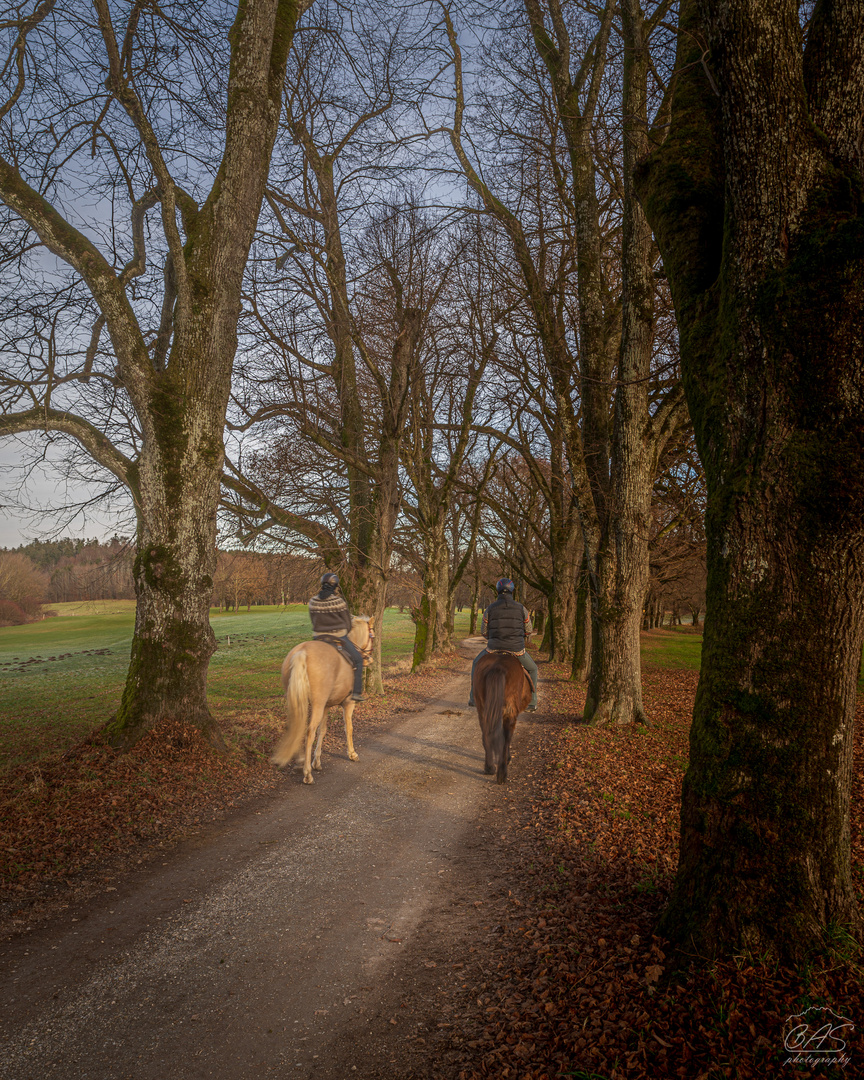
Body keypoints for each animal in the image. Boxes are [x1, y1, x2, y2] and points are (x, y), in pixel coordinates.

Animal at [272, 617, 373, 786]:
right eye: (372, 636)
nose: (370, 659)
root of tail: (302, 652)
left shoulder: (326, 706)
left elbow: (322, 731)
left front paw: (317, 761)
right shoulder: (347, 704)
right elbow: (348, 728)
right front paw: (352, 754)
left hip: (297, 702)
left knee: (296, 726)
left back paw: (300, 762)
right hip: (317, 704)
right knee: (309, 732)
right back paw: (307, 774)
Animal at [473, 648, 533, 786]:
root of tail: (498, 666)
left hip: (483, 710)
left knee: (486, 735)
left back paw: (489, 768)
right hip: (509, 714)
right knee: (506, 740)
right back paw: (502, 774)